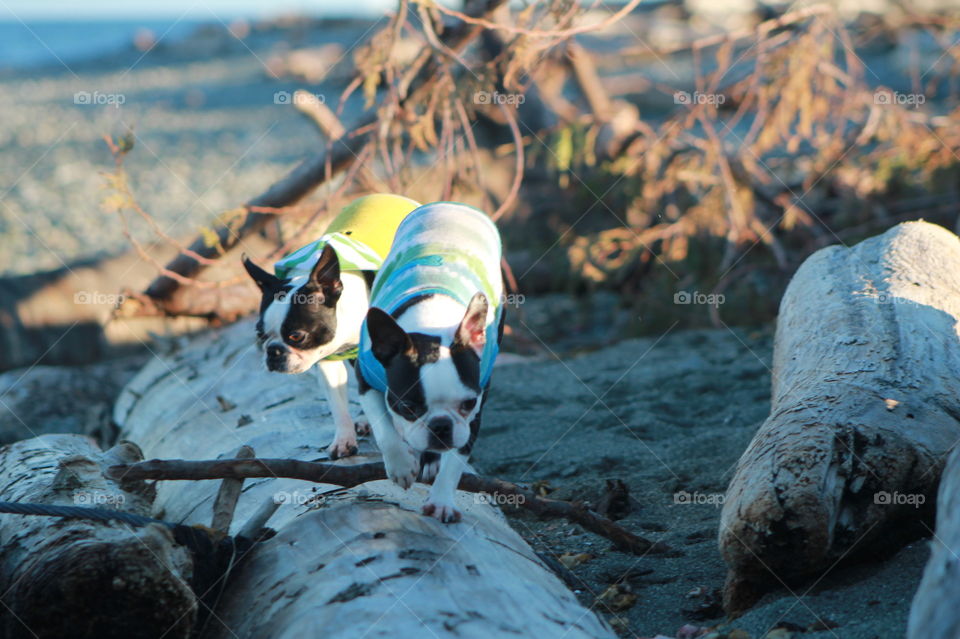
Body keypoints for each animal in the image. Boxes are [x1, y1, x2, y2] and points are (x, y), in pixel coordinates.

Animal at [242, 194, 418, 460]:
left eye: (297, 336)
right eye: (260, 335)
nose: (273, 352)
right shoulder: (328, 363)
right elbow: (337, 403)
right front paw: (344, 440)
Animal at [352, 202, 502, 524]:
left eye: (468, 404)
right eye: (408, 407)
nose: (440, 427)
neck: (432, 322)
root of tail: (451, 205)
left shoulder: (477, 405)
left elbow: (457, 458)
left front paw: (442, 499)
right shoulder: (366, 379)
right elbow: (384, 426)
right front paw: (400, 466)